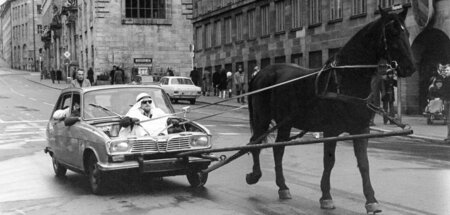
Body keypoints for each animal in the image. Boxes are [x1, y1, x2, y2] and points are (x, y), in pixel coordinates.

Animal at [246, 7, 414, 214]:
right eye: (392, 33)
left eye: (407, 32)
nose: (410, 67)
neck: (346, 78)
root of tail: (260, 73)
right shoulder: (331, 130)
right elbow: (329, 161)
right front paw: (326, 196)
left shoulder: (361, 129)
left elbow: (363, 163)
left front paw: (371, 200)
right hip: (262, 118)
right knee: (255, 142)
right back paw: (255, 174)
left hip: (285, 123)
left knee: (278, 149)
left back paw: (283, 187)